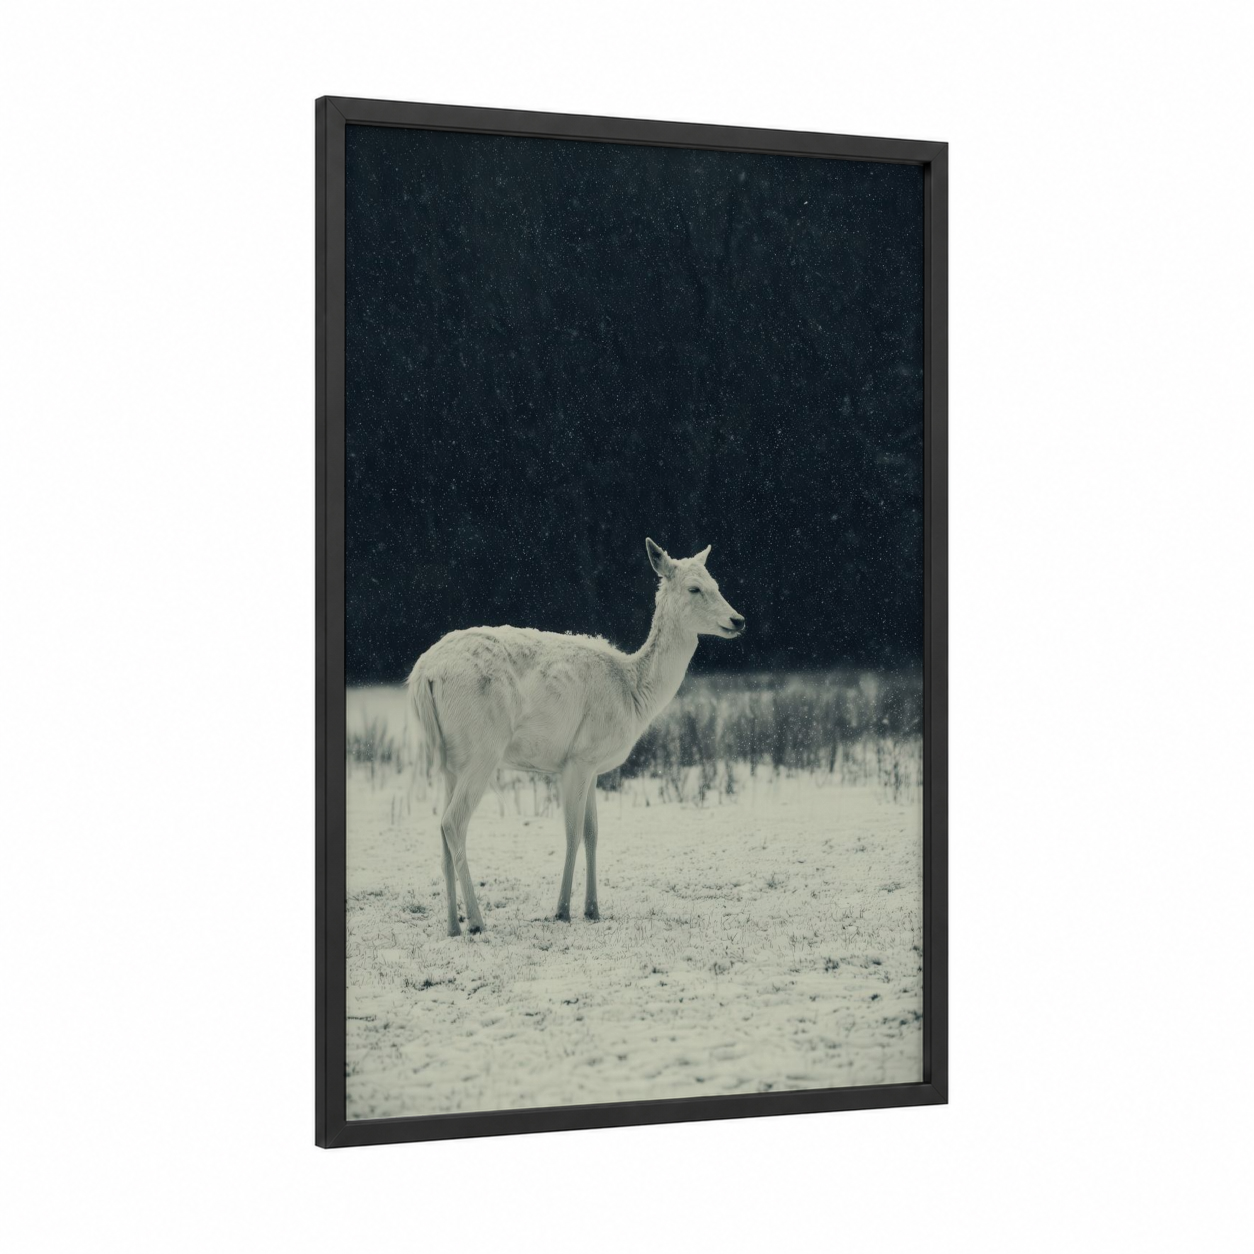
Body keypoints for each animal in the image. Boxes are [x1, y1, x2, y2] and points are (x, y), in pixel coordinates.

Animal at [407, 538, 746, 935]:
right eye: (694, 589)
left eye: (716, 584)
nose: (738, 620)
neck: (633, 694)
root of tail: (423, 674)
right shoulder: (578, 758)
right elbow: (571, 832)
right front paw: (563, 909)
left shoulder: (594, 766)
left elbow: (593, 833)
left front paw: (593, 908)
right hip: (483, 748)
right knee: (453, 822)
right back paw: (476, 921)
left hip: (451, 759)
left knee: (441, 828)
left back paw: (452, 925)